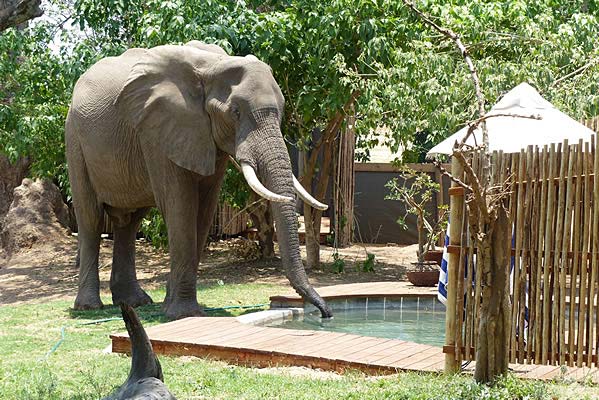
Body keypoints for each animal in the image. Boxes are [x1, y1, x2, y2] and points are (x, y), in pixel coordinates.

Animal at [68, 40, 336, 320]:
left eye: (282, 111)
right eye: (235, 112)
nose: (326, 313)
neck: (212, 66)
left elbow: (204, 209)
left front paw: (172, 308)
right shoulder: (157, 131)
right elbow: (180, 206)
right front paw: (183, 314)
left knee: (129, 223)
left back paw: (136, 302)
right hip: (75, 138)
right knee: (90, 218)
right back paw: (89, 307)